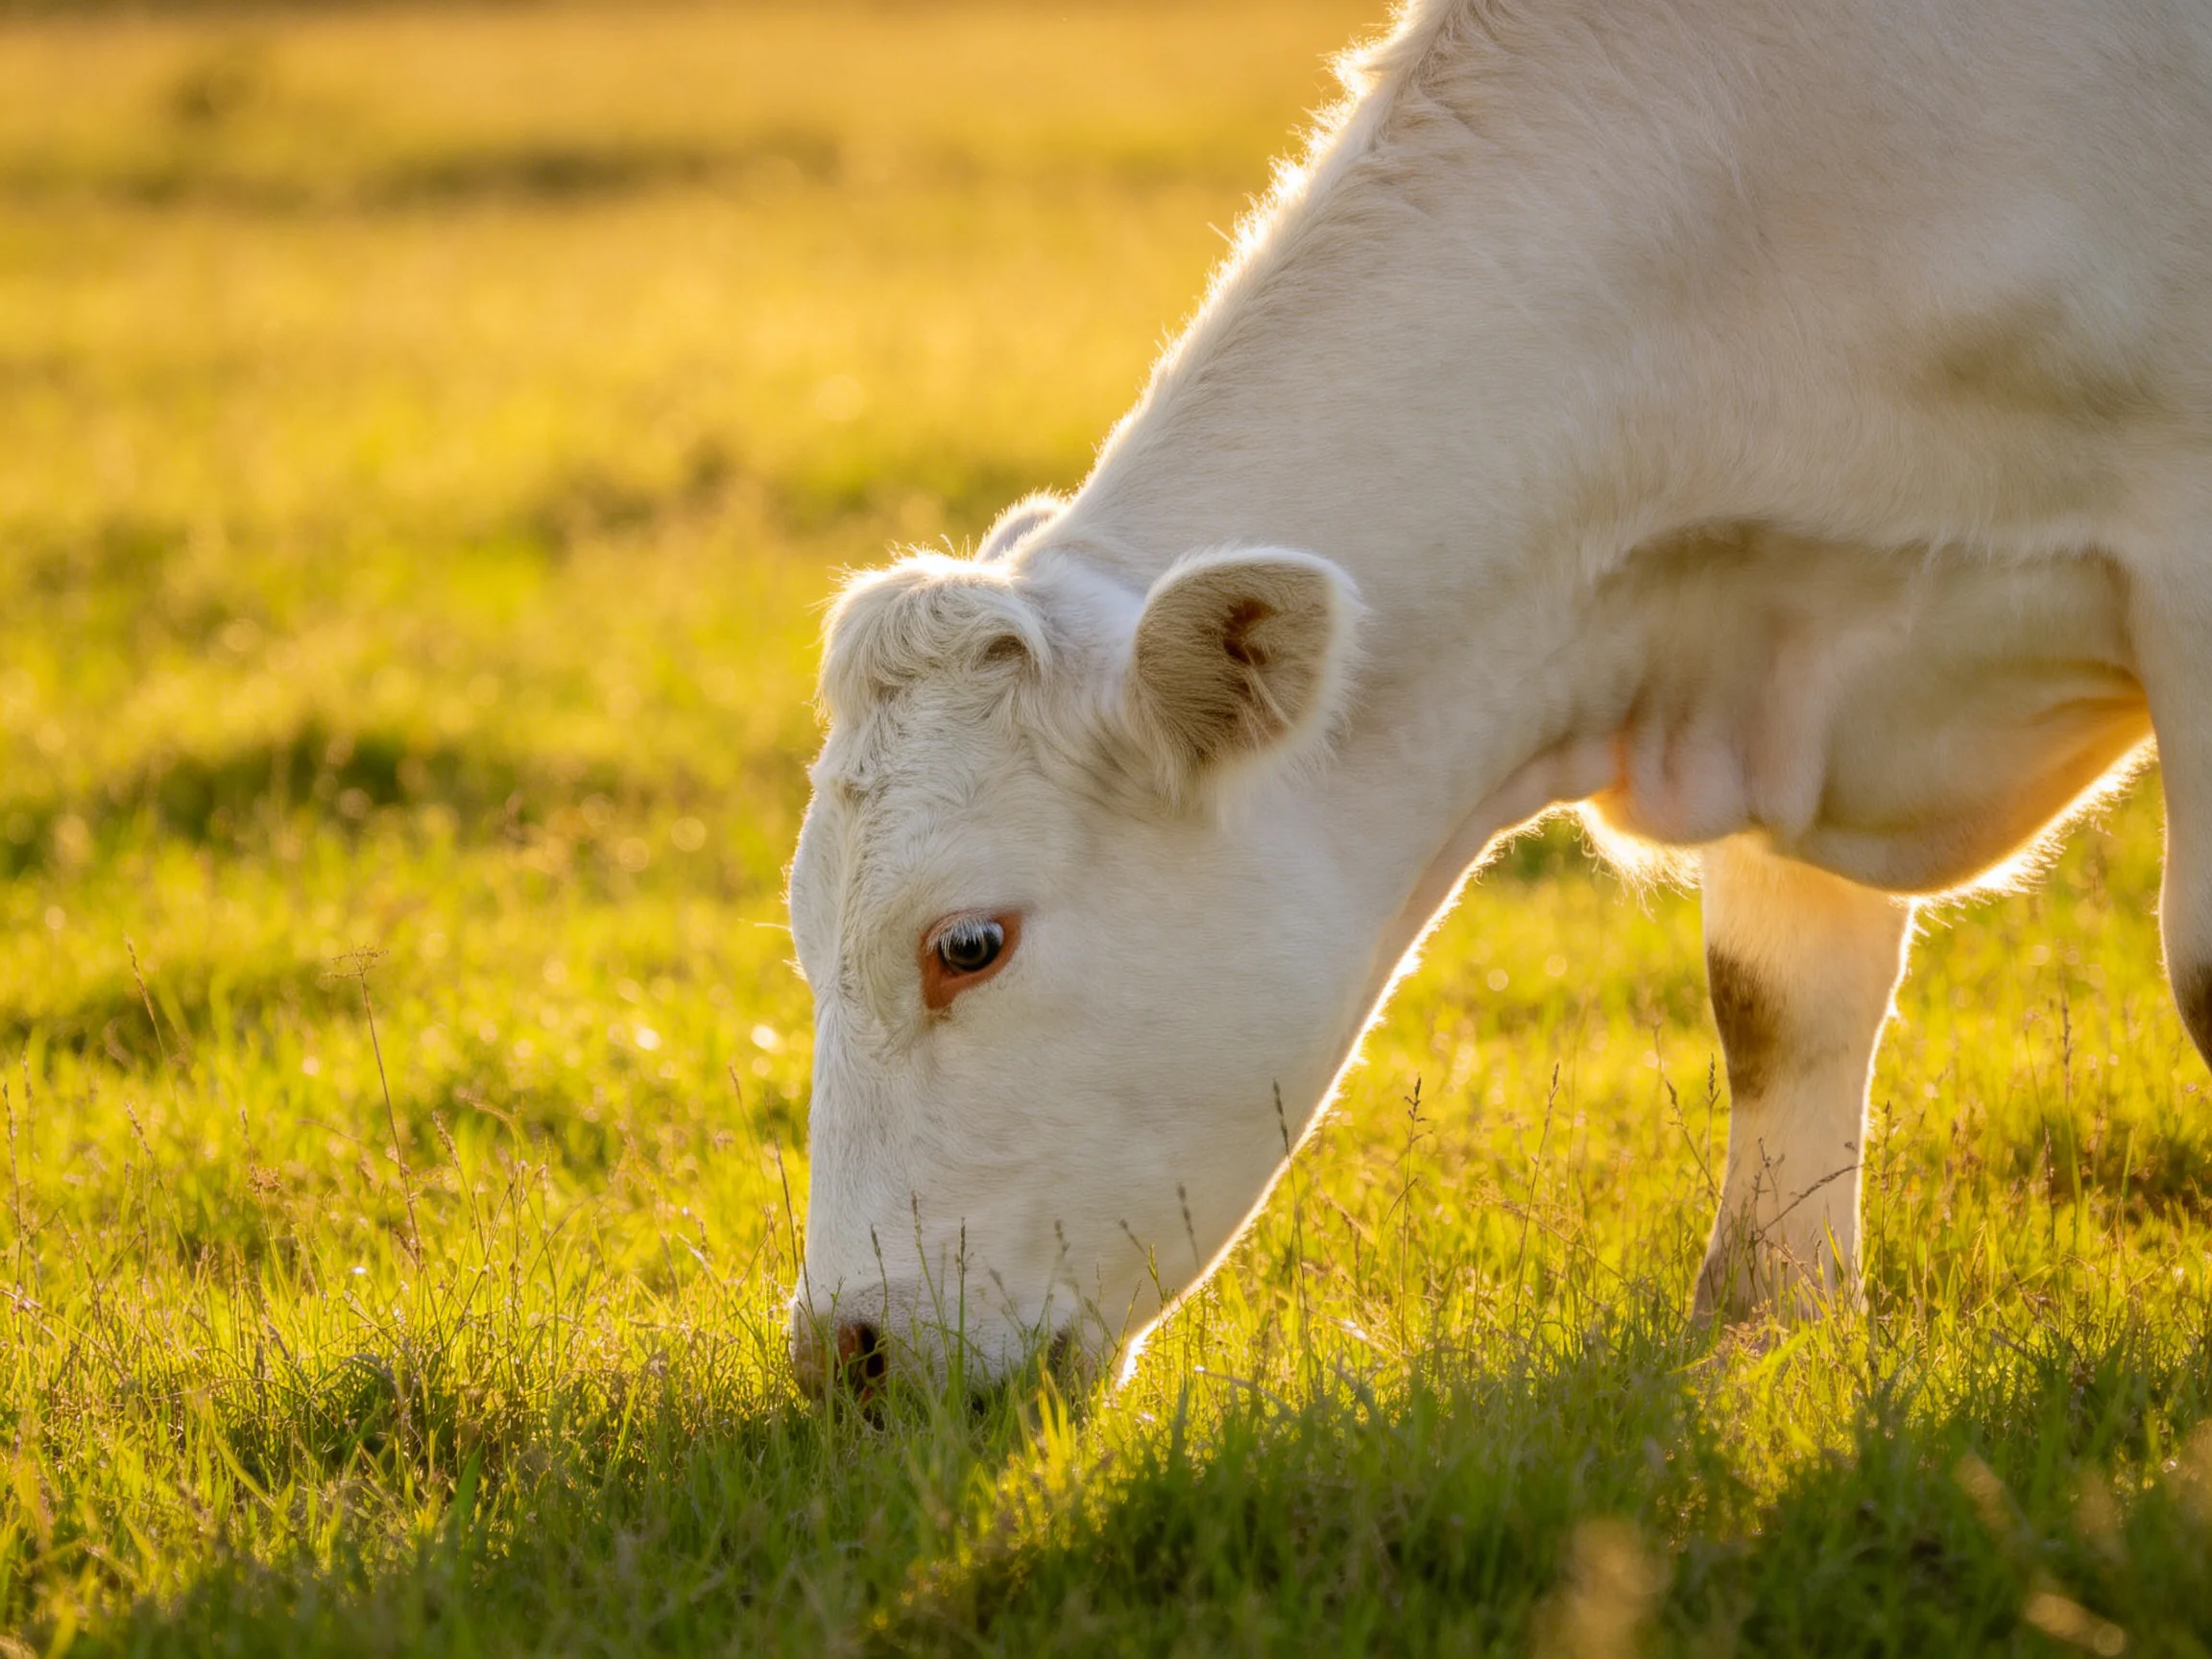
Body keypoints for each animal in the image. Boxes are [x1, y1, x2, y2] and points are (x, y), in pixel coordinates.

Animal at [785, 0, 2212, 1393]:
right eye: (805, 944)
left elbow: (2197, 967)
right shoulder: (1786, 645)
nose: (843, 1350)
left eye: (968, 943)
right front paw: (1769, 1336)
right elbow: (1779, 1004)